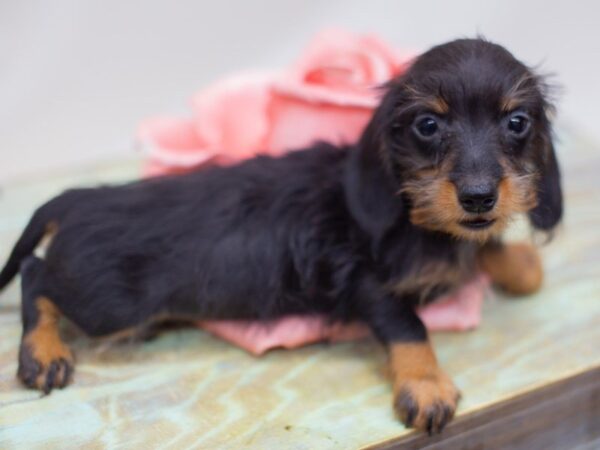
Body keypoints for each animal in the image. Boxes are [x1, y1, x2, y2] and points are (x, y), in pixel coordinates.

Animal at [0, 38, 564, 432]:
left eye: (517, 122)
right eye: (427, 125)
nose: (478, 197)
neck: (415, 217)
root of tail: (78, 197)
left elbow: (486, 250)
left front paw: (517, 262)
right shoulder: (366, 284)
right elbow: (410, 326)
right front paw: (425, 385)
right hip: (108, 302)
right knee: (35, 276)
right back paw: (43, 353)